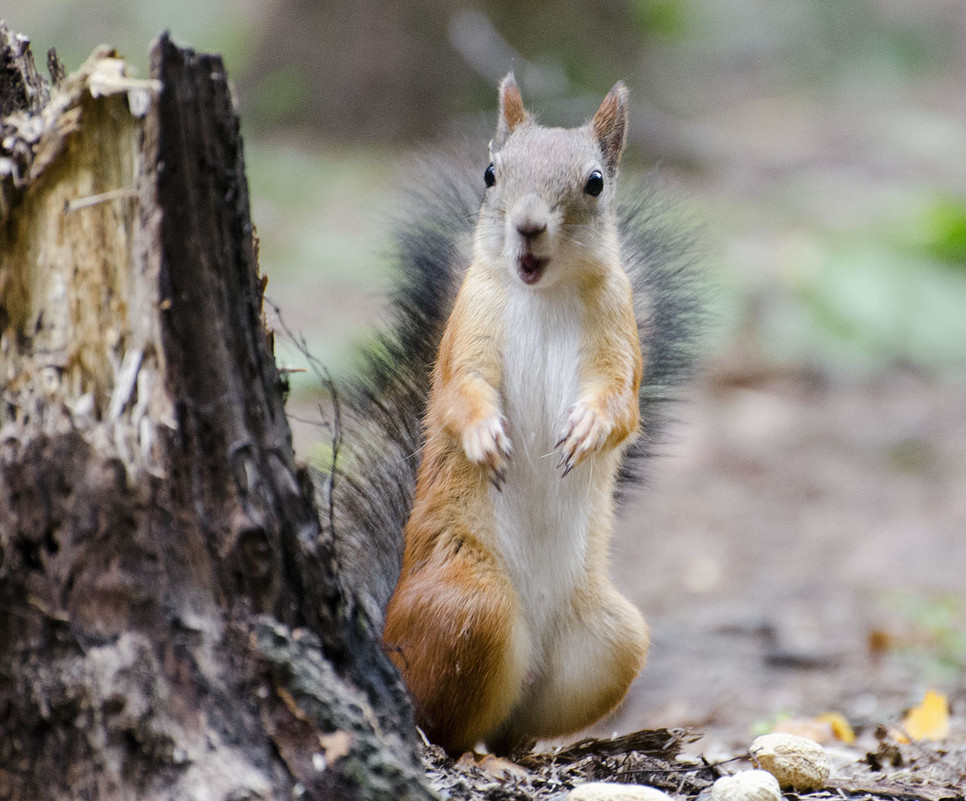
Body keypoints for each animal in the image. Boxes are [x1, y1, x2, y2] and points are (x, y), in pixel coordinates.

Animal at [320, 75, 704, 756]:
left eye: (595, 181)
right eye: (490, 173)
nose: (527, 226)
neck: (543, 294)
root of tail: (387, 633)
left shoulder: (619, 338)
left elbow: (621, 405)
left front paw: (589, 430)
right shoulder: (465, 330)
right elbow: (456, 393)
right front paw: (483, 438)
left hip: (611, 641)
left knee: (511, 721)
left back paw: (516, 750)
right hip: (470, 607)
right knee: (442, 724)